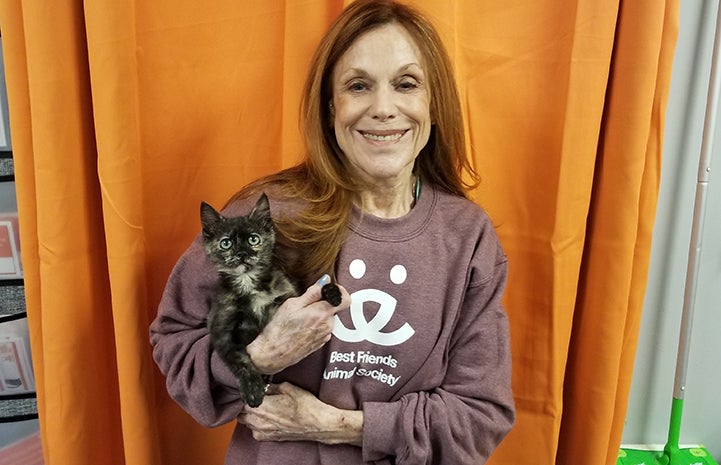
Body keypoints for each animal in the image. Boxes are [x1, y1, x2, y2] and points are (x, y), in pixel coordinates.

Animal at [198, 192, 342, 406]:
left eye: (253, 239)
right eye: (226, 243)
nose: (242, 254)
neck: (249, 283)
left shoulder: (287, 299)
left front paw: (330, 291)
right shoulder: (221, 331)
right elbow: (239, 361)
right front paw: (253, 389)